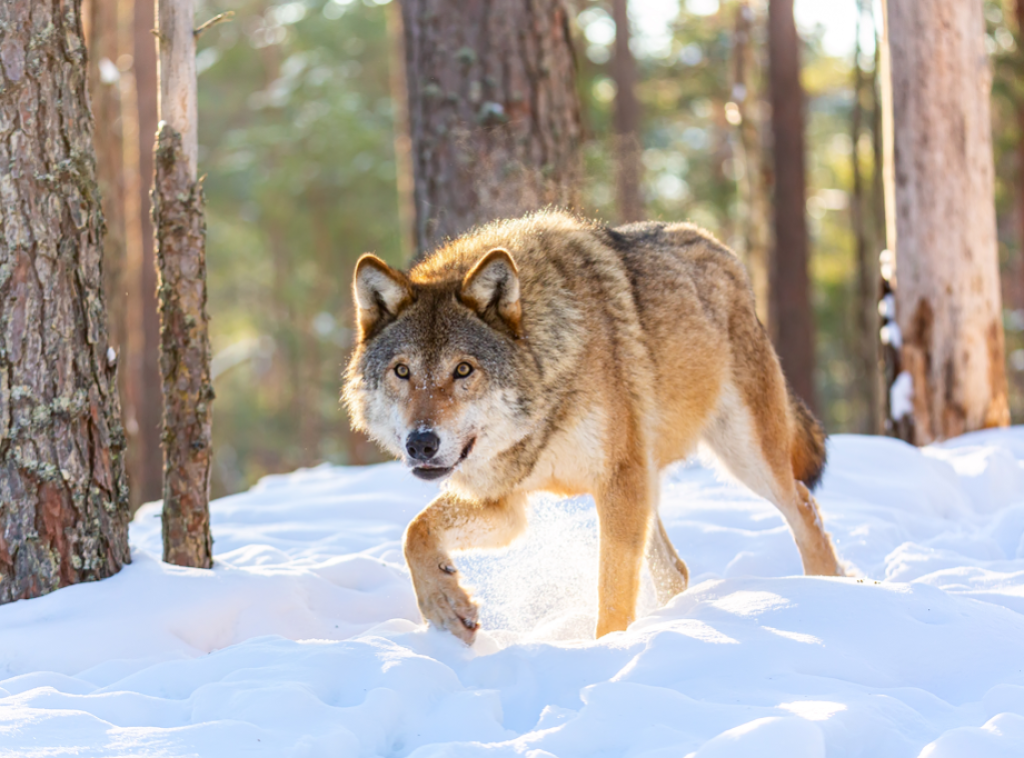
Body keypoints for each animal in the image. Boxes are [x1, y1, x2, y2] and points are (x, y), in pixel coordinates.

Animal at [344, 209, 839, 643]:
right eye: (402, 371)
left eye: (463, 370)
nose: (421, 444)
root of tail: (720, 248)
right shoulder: (504, 503)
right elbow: (414, 533)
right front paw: (446, 606)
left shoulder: (617, 482)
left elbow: (613, 591)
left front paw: (605, 651)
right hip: (654, 480)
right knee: (675, 570)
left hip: (742, 456)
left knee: (804, 506)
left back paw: (827, 596)